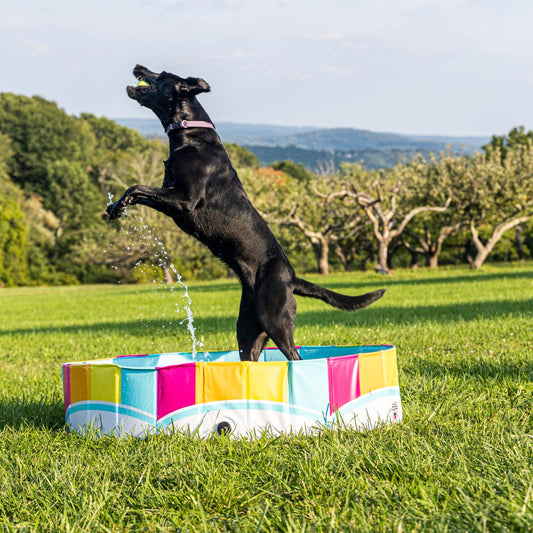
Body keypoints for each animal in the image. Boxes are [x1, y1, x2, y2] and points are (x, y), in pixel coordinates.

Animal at [107, 64, 382, 360]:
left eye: (163, 74)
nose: (137, 66)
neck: (191, 135)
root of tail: (291, 278)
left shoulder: (184, 201)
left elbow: (138, 187)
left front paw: (118, 206)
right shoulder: (170, 197)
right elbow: (139, 190)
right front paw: (114, 207)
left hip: (275, 319)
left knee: (294, 357)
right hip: (248, 330)